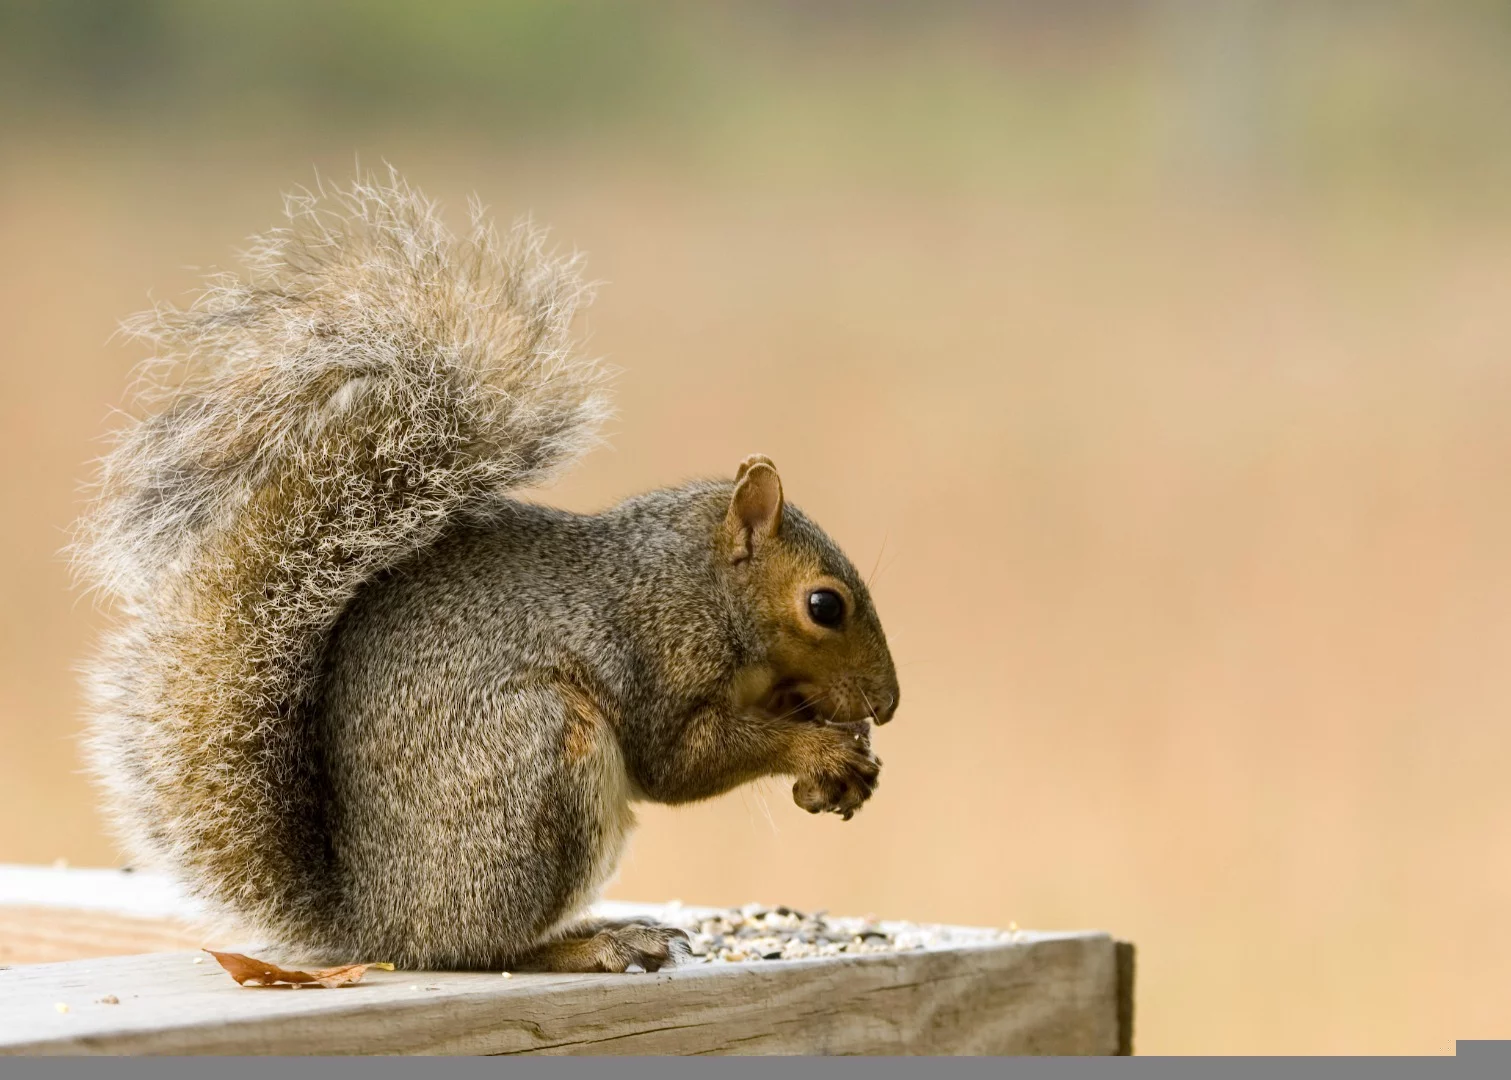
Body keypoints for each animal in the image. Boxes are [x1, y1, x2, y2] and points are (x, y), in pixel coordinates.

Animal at [72, 171, 900, 973]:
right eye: (824, 605)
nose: (887, 705)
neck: (701, 585)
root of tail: (377, 925)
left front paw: (843, 746)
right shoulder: (659, 654)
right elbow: (679, 764)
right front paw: (819, 748)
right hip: (540, 764)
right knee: (484, 948)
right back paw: (590, 944)